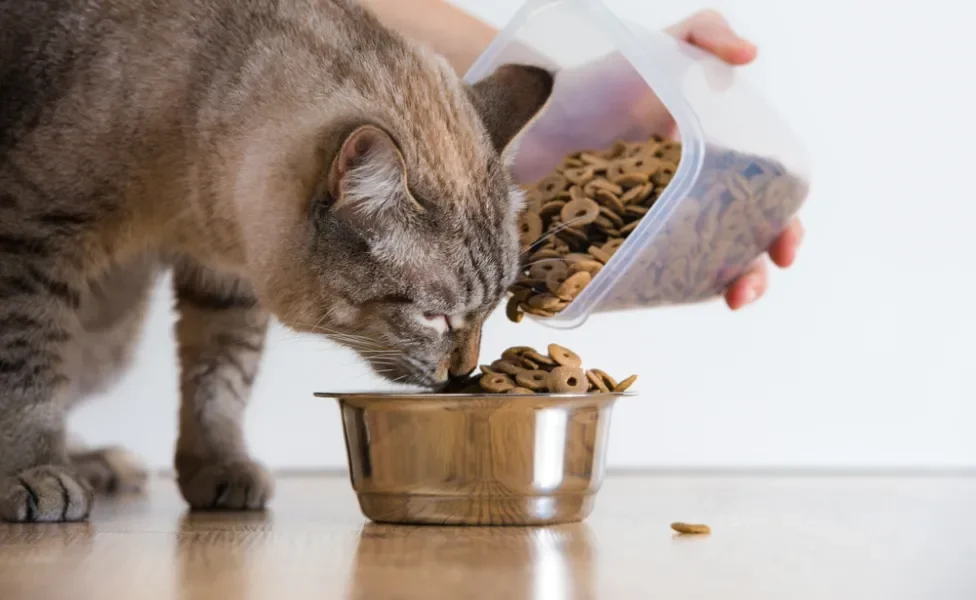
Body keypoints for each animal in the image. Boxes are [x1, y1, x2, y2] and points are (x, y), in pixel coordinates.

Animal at [0, 0, 548, 520]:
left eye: (491, 311)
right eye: (433, 317)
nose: (464, 373)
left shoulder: (226, 281)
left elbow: (219, 383)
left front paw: (221, 466)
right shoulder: (32, 240)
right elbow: (26, 373)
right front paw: (35, 472)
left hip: (110, 334)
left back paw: (100, 464)